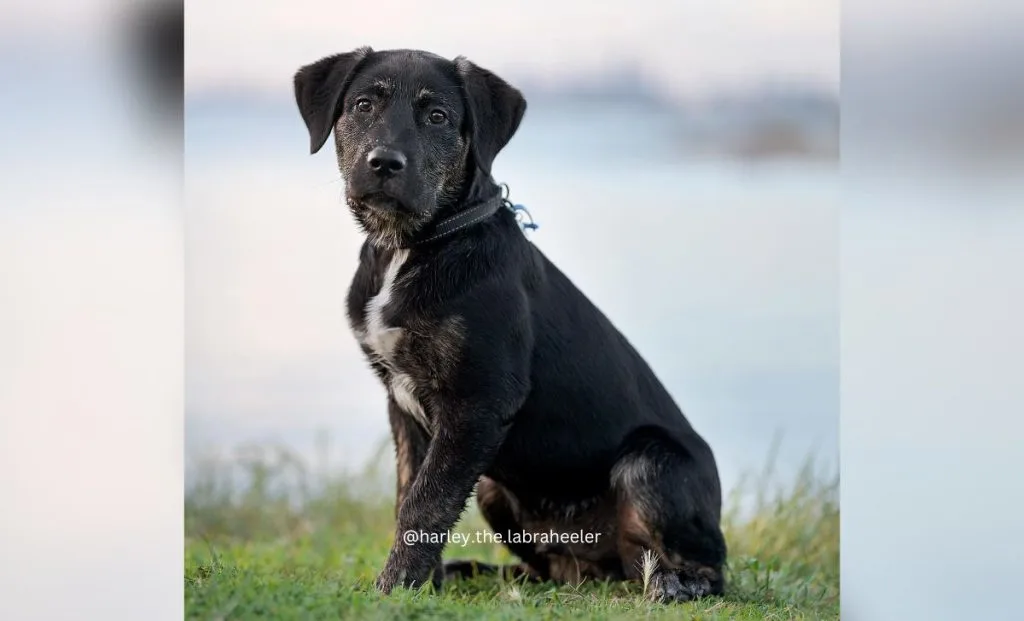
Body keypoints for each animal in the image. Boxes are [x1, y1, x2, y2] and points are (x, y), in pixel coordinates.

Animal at [296, 47, 729, 602]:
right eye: (363, 105)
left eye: (438, 116)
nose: (384, 163)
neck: (414, 245)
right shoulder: (403, 405)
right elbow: (410, 493)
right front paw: (424, 584)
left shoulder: (479, 401)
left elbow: (426, 503)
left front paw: (394, 590)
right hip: (495, 490)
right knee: (557, 570)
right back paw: (480, 572)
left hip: (651, 461)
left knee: (705, 564)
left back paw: (678, 584)